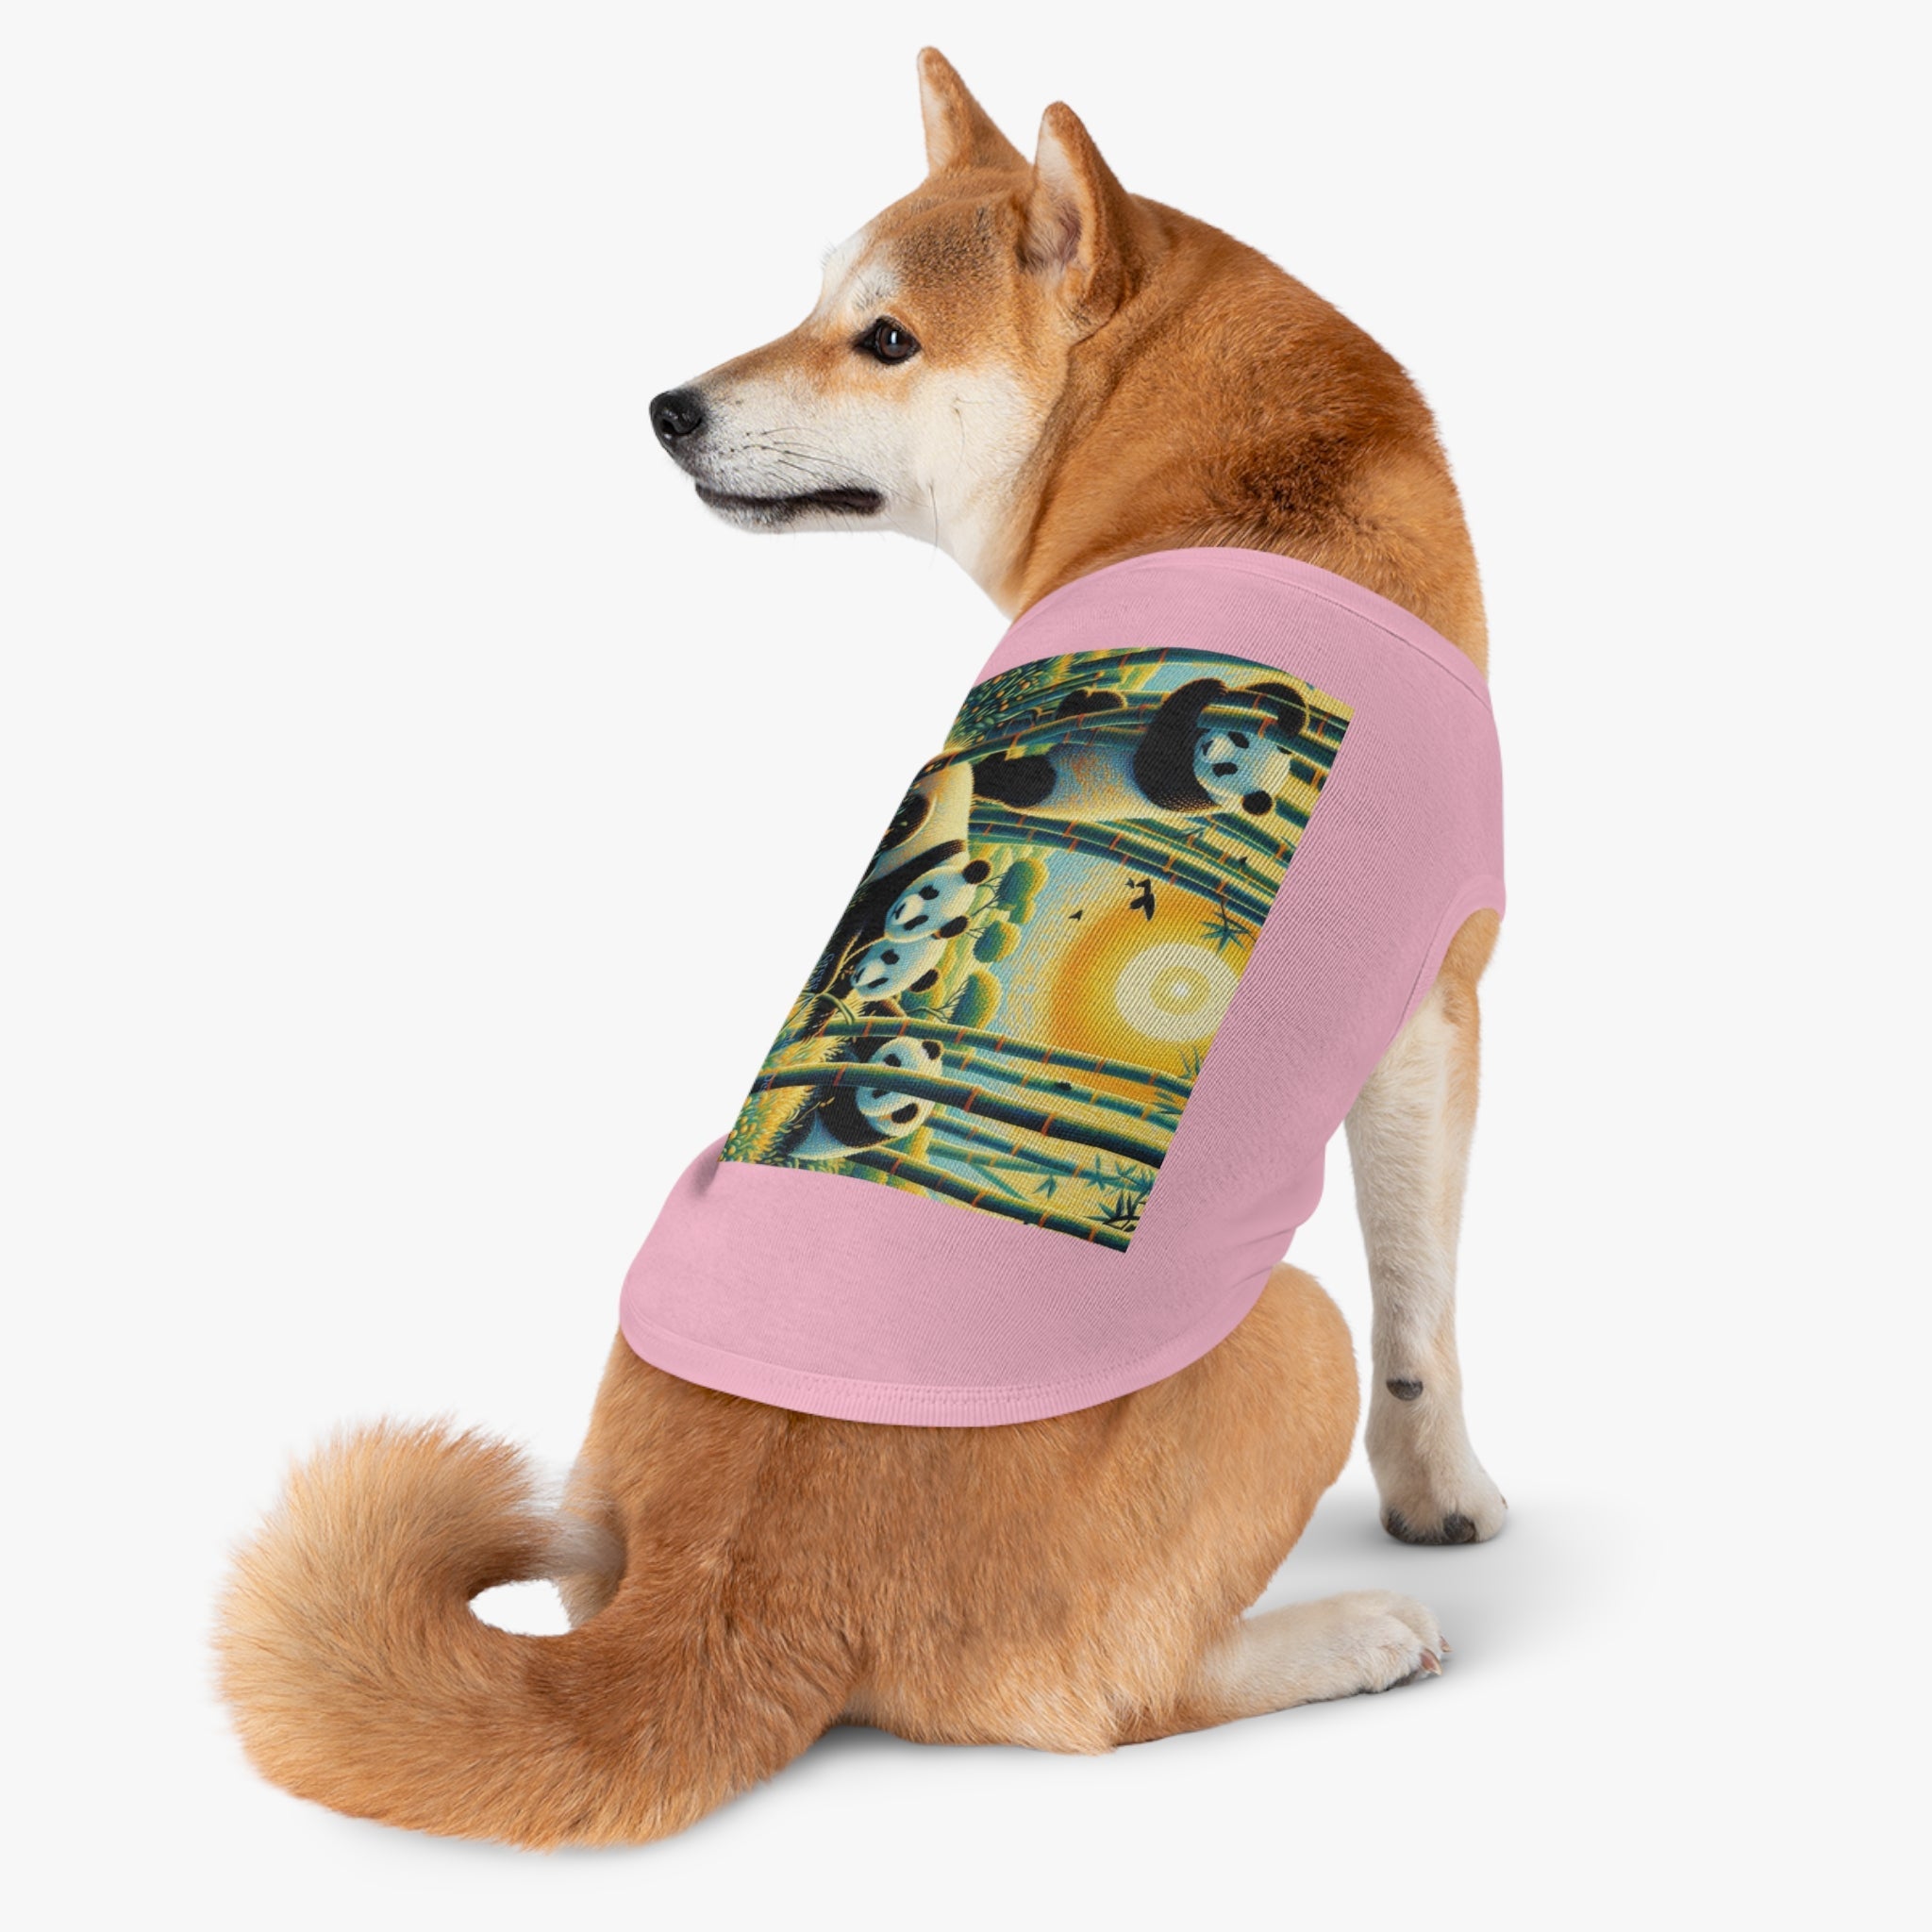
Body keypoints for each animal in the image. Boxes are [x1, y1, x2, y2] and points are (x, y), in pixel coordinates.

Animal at [969, 678, 1310, 822]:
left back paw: (988, 767)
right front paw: (1292, 715)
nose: (1211, 747)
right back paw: (1074, 704)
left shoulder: (1196, 794)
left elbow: (1155, 772)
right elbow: (1257, 694)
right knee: (1104, 704)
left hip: (1055, 785)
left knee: (1022, 782)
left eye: (1226, 769)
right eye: (1239, 738)